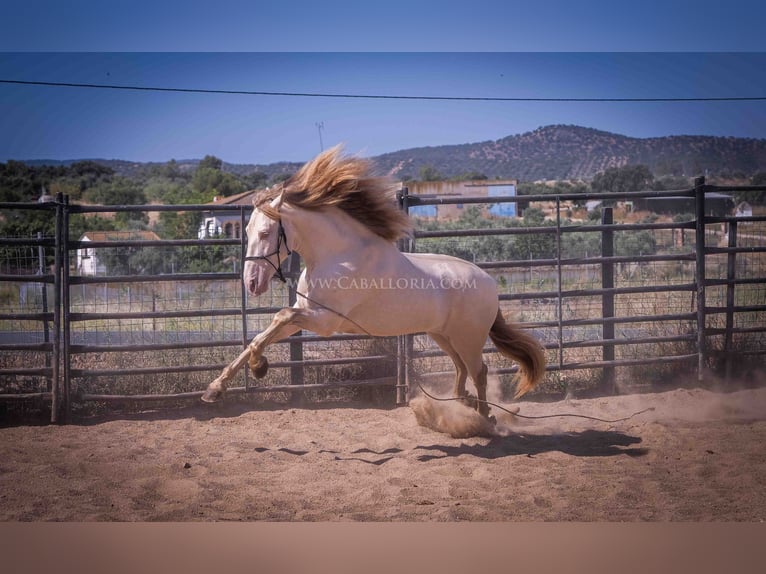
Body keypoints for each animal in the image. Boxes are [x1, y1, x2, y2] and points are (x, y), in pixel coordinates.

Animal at [201, 146, 544, 420]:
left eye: (264, 233)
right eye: (246, 231)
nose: (252, 282)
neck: (339, 255)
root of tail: (490, 282)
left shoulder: (325, 320)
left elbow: (278, 318)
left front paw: (259, 367)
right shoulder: (305, 313)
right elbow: (261, 335)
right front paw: (215, 389)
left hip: (468, 338)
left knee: (479, 371)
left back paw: (485, 418)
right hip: (443, 335)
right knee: (461, 370)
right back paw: (466, 404)